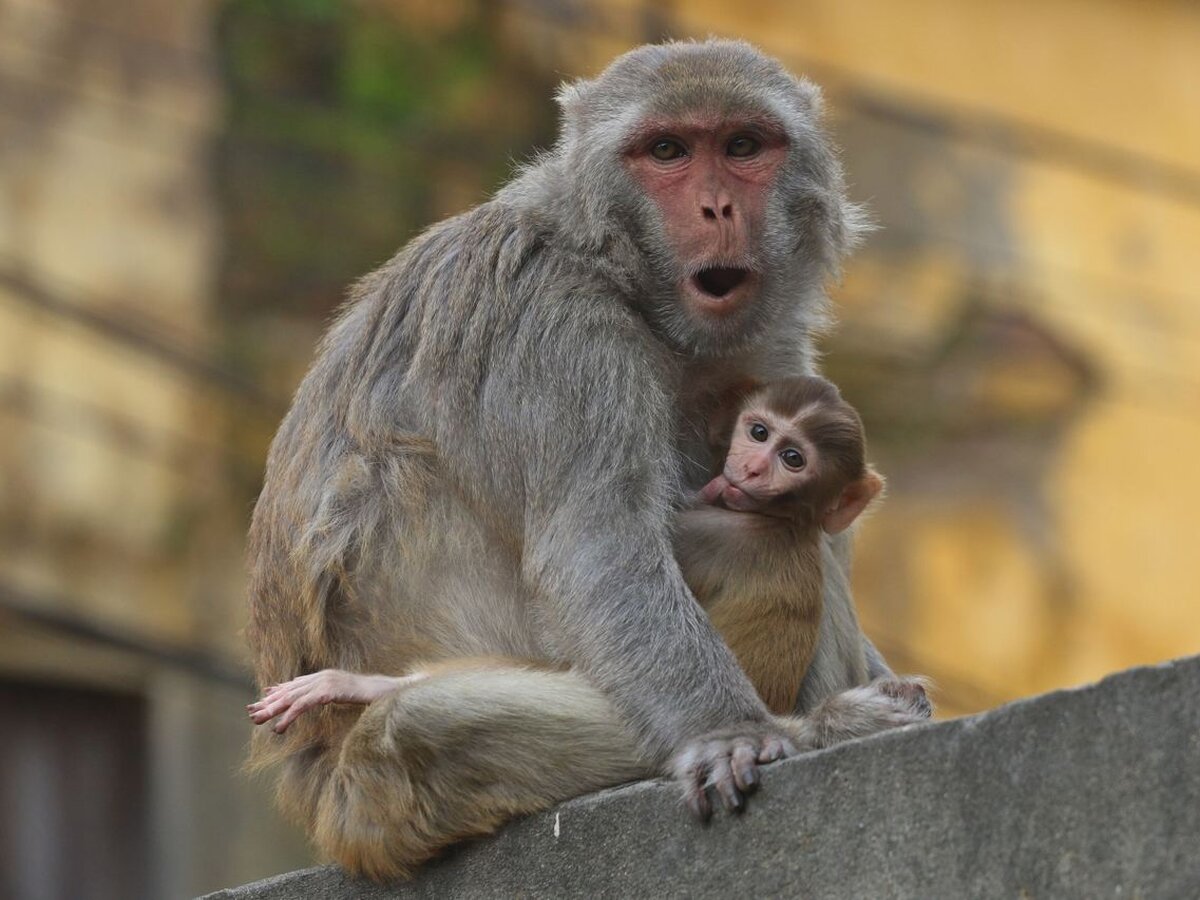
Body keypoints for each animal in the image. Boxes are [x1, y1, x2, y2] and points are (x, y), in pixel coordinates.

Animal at [246, 40, 926, 883]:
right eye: (666, 151)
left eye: (742, 146)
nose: (718, 208)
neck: (616, 272)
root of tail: (321, 803)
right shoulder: (560, 333)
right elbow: (597, 547)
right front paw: (729, 731)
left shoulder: (768, 351)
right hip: (386, 791)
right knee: (419, 730)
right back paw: (825, 726)